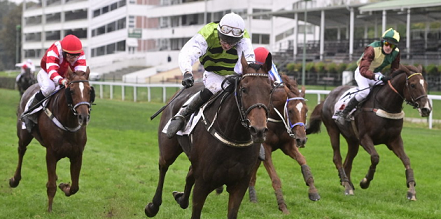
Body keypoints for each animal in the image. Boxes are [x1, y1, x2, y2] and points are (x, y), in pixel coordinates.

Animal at [9, 67, 94, 212]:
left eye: (89, 90)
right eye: (72, 91)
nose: (83, 117)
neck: (67, 124)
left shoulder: (77, 154)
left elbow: (75, 187)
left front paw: (64, 186)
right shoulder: (51, 153)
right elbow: (51, 186)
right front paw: (49, 209)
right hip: (24, 134)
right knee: (21, 151)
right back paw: (15, 180)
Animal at [146, 53, 274, 219]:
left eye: (270, 90)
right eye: (244, 89)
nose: (258, 130)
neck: (233, 137)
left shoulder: (240, 184)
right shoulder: (203, 184)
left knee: (189, 173)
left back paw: (181, 198)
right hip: (168, 148)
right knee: (163, 167)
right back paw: (153, 206)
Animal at [248, 75, 320, 214]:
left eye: (306, 110)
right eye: (290, 110)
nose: (302, 139)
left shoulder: (288, 146)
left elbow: (303, 161)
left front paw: (313, 192)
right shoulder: (266, 149)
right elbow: (275, 179)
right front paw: (282, 206)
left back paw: (252, 197)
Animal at [306, 64, 430, 199]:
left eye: (425, 84)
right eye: (412, 85)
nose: (426, 109)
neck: (384, 105)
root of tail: (327, 97)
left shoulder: (394, 139)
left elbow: (406, 160)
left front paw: (411, 190)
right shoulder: (364, 138)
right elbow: (375, 157)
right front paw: (365, 182)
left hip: (352, 140)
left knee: (348, 162)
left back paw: (348, 185)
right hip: (332, 129)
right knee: (337, 158)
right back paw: (346, 184)